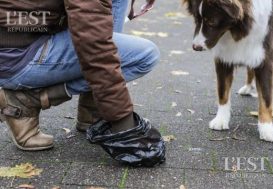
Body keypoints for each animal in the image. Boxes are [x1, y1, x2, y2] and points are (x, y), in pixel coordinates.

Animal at [182, 0, 272, 142]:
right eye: (196, 19)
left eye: (212, 22)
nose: (196, 47)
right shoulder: (223, 59)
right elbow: (223, 92)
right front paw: (221, 120)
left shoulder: (264, 57)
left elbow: (265, 97)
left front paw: (267, 128)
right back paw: (247, 88)